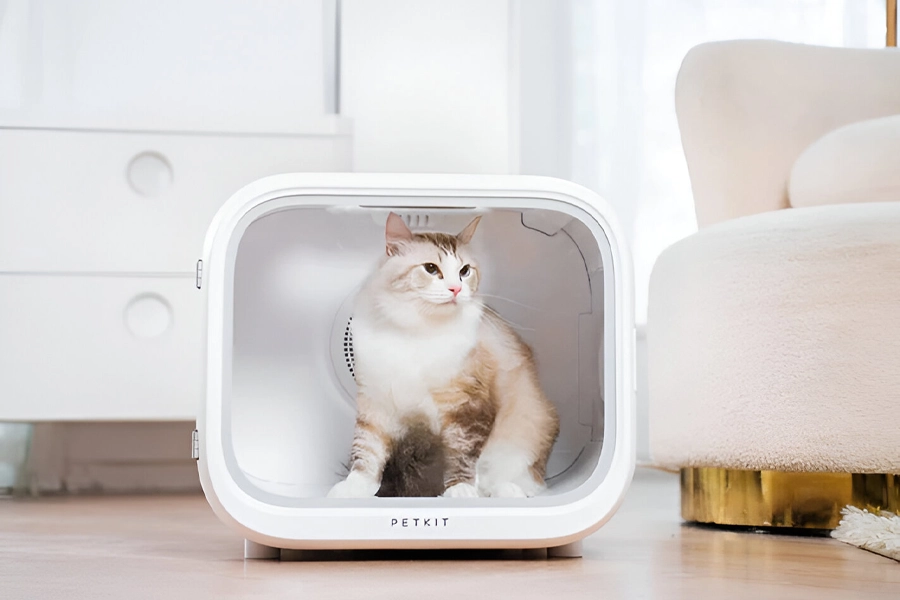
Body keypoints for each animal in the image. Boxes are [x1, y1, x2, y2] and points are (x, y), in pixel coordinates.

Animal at [326, 213, 560, 500]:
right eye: (430, 268)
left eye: (464, 271)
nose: (456, 289)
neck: (415, 331)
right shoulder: (375, 401)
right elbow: (366, 453)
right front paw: (353, 488)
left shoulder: (466, 407)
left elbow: (462, 455)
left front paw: (459, 490)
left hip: (530, 426)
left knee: (516, 479)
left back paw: (508, 491)